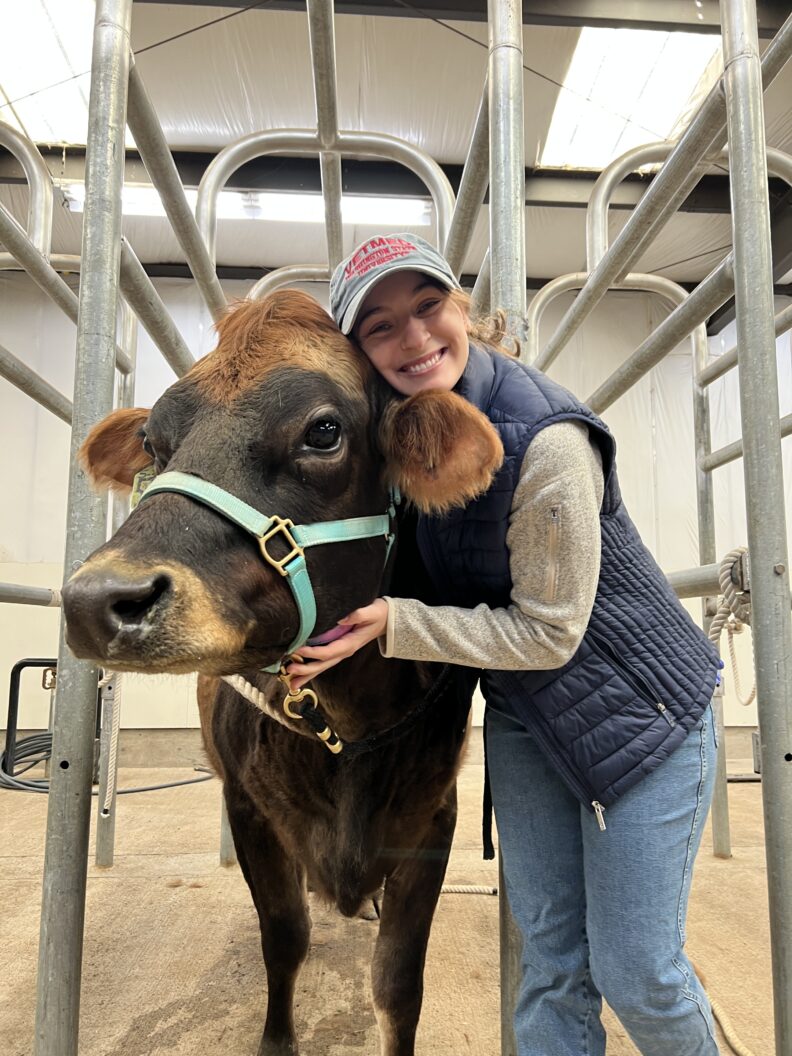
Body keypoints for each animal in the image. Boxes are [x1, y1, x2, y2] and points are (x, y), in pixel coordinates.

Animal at [61, 291, 503, 1056]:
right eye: (152, 440)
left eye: (324, 431)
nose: (96, 600)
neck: (350, 724)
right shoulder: (248, 807)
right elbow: (285, 937)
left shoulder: (433, 816)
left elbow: (397, 982)